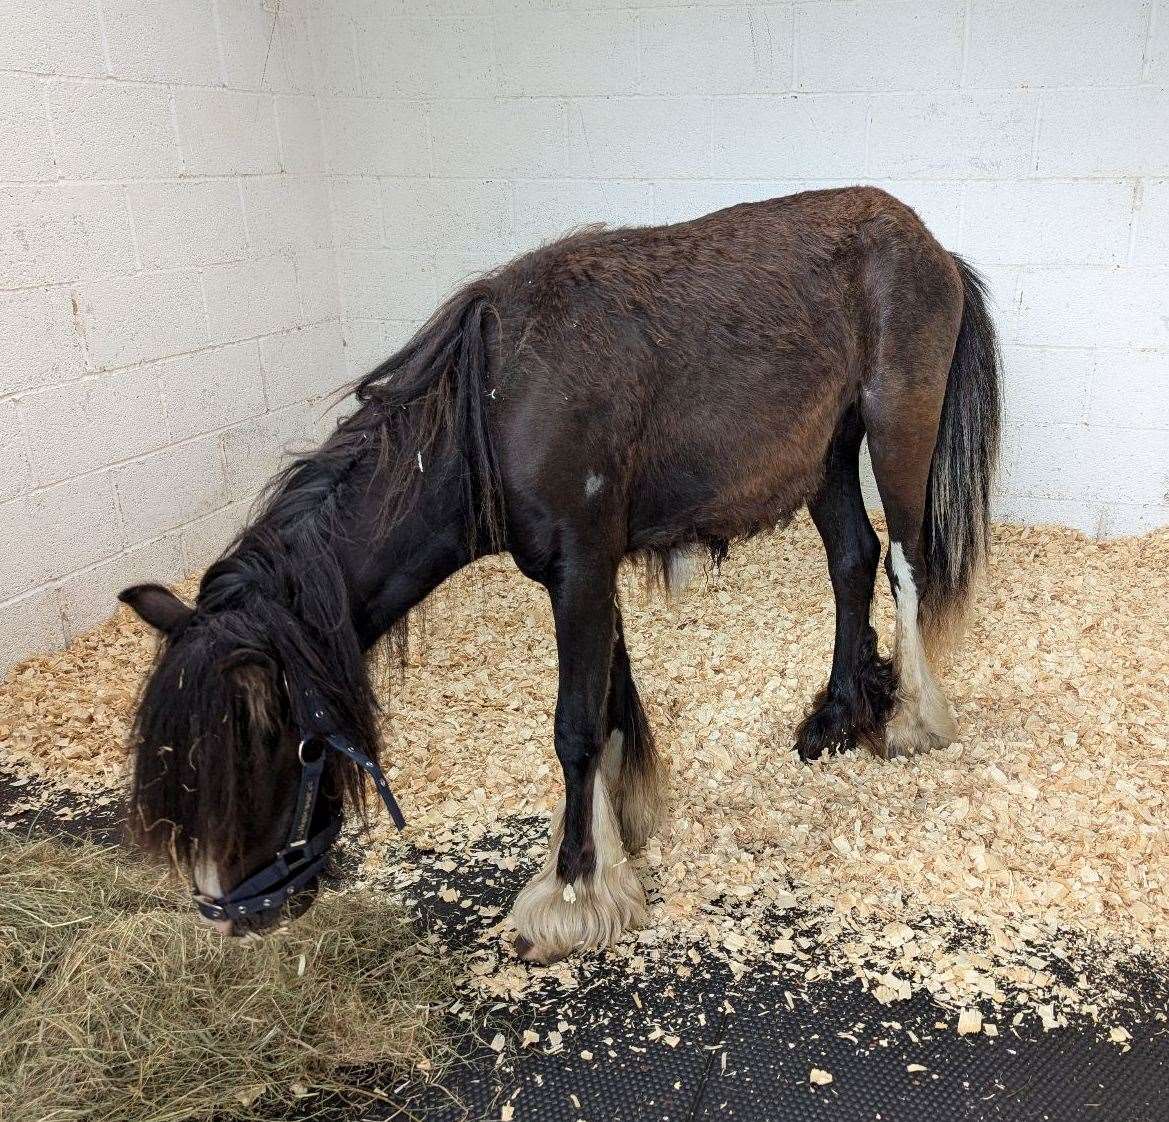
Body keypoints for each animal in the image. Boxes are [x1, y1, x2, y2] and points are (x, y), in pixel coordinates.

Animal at [125, 188, 1005, 958]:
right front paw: (619, 836)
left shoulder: (580, 565)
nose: (233, 913)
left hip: (895, 427)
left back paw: (911, 719)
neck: (492, 409)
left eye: (260, 745)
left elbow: (574, 726)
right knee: (851, 561)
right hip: (826, 454)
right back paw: (838, 715)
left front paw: (571, 895)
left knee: (904, 565)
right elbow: (609, 698)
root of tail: (929, 245)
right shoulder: (587, 569)